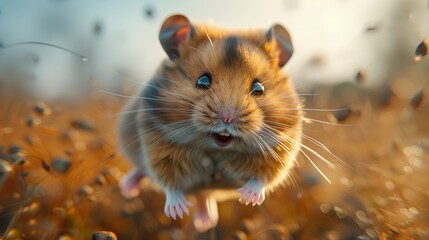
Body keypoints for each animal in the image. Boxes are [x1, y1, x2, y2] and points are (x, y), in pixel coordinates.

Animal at [117, 14, 302, 232]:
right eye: (202, 81)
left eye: (259, 88)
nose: (227, 118)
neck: (216, 149)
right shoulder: (158, 147)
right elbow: (169, 182)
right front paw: (178, 212)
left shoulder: (280, 151)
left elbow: (261, 179)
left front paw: (248, 199)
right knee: (142, 170)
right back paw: (126, 188)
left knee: (203, 196)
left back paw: (205, 222)